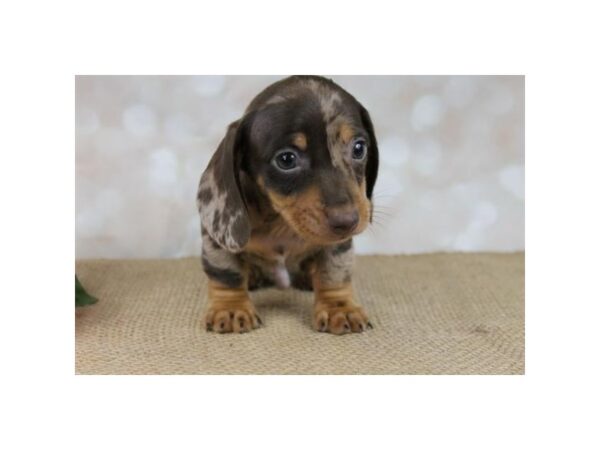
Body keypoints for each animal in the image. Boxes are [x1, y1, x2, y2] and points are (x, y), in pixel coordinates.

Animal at [199, 74, 382, 334]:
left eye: (359, 148)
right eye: (286, 159)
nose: (348, 221)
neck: (281, 224)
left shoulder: (338, 246)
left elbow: (334, 271)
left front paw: (339, 308)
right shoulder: (214, 238)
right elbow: (226, 273)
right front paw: (232, 308)